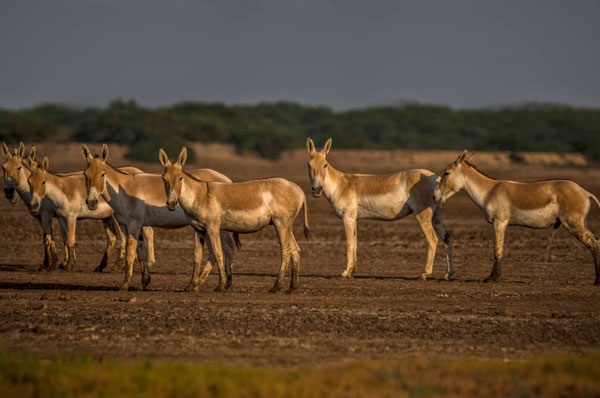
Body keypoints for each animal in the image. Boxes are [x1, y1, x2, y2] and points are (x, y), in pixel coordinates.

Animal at [159, 146, 310, 292]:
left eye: (180, 178)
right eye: (164, 178)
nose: (171, 204)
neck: (200, 195)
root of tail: (298, 189)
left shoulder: (212, 226)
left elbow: (218, 253)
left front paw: (221, 285)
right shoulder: (198, 229)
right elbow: (197, 256)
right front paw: (191, 286)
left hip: (281, 223)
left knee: (286, 251)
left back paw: (276, 286)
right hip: (287, 225)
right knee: (295, 250)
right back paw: (292, 287)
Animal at [308, 138, 452, 282]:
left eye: (325, 165)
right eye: (309, 165)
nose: (316, 189)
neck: (341, 185)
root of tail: (436, 178)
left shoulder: (347, 218)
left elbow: (349, 243)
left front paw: (345, 272)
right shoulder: (354, 219)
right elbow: (355, 243)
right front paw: (352, 271)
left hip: (423, 215)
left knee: (432, 239)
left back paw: (425, 274)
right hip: (437, 216)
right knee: (446, 238)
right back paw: (448, 274)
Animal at [436, 148, 600, 282]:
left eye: (447, 173)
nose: (434, 196)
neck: (490, 190)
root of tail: (585, 192)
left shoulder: (499, 222)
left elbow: (497, 248)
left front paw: (492, 277)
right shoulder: (501, 223)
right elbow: (499, 248)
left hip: (574, 224)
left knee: (594, 244)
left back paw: (597, 281)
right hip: (579, 224)